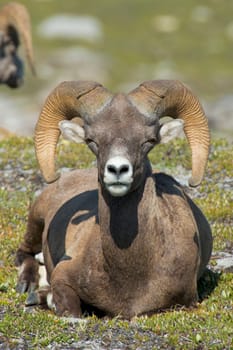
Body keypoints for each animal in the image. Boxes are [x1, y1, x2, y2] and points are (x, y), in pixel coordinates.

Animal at [15, 80, 213, 320]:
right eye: (91, 140)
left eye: (149, 140)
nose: (117, 169)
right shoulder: (63, 277)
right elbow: (70, 308)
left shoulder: (186, 301)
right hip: (36, 219)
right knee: (24, 252)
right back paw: (28, 287)